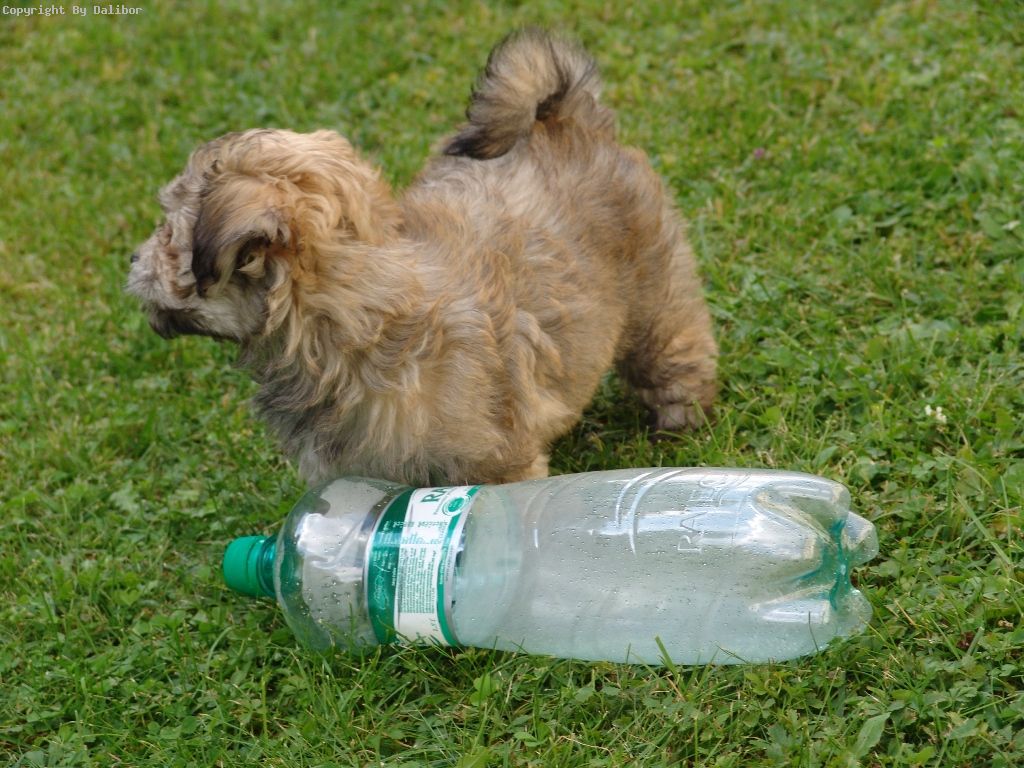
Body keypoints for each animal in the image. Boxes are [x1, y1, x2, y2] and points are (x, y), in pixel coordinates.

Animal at [126, 29, 718, 486]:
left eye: (166, 233)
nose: (132, 258)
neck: (354, 317)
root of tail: (562, 118)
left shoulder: (495, 463)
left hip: (655, 287)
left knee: (673, 345)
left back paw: (679, 419)